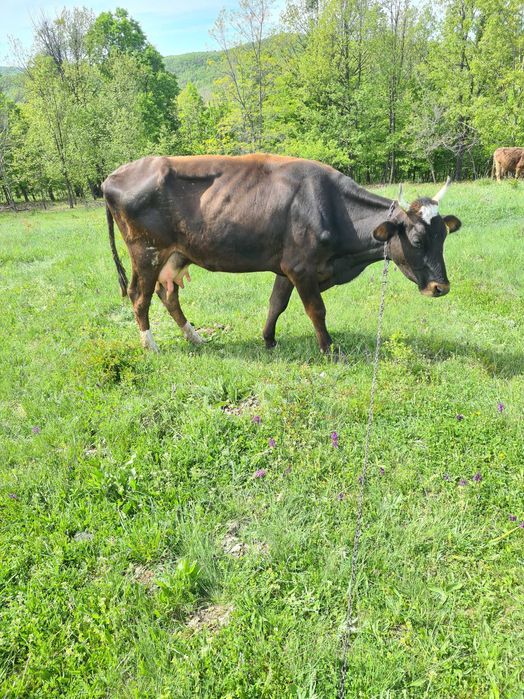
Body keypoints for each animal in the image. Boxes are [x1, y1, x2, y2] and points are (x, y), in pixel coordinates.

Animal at [102, 154, 461, 355]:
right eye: (416, 239)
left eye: (444, 237)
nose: (440, 287)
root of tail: (113, 177)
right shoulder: (301, 267)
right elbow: (316, 310)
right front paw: (328, 348)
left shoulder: (286, 268)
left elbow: (276, 303)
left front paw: (268, 340)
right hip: (146, 252)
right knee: (139, 296)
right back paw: (151, 345)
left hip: (176, 255)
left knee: (168, 294)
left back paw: (195, 338)